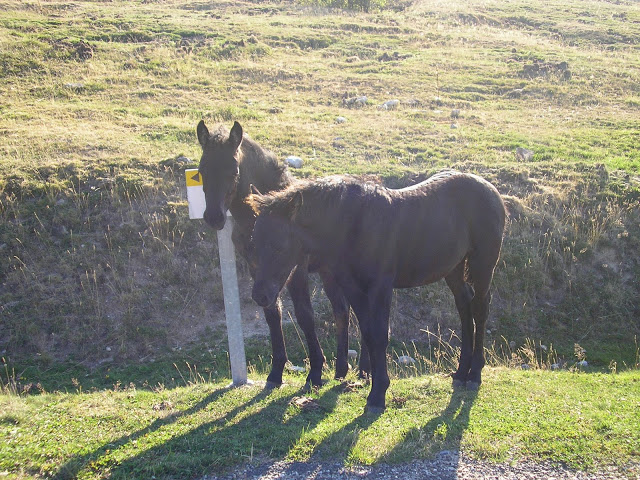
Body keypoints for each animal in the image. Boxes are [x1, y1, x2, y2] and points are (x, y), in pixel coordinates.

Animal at [195, 121, 368, 390]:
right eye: (201, 170)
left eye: (233, 171)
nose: (214, 217)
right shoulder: (258, 270)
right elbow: (271, 313)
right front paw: (276, 372)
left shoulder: (295, 270)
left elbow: (304, 315)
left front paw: (315, 370)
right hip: (328, 272)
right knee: (342, 311)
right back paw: (342, 369)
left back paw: (362, 370)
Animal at [249, 172, 504, 412]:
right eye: (253, 242)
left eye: (279, 246)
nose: (260, 296)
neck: (354, 225)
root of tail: (489, 188)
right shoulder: (353, 288)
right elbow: (369, 333)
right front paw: (373, 385)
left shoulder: (381, 286)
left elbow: (380, 335)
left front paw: (378, 395)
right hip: (453, 268)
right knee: (464, 304)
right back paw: (461, 372)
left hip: (483, 264)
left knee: (480, 309)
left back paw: (475, 374)